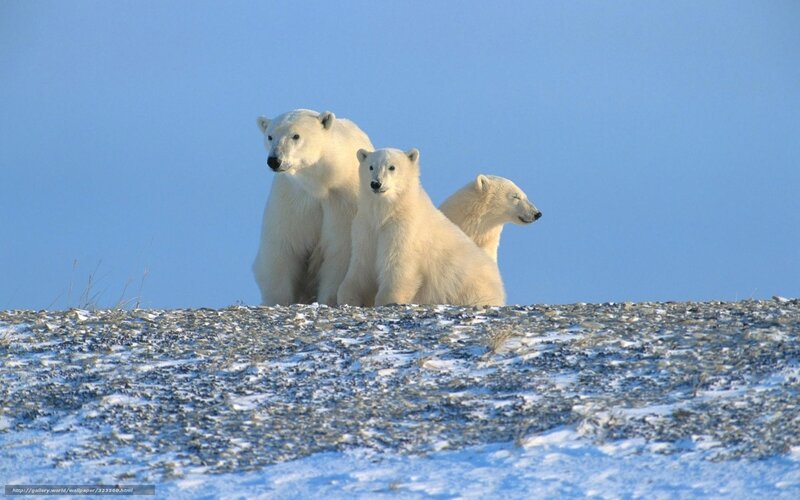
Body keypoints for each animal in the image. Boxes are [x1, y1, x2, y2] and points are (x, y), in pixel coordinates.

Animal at [253, 109, 373, 305]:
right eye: (270, 136)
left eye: (296, 135)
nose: (274, 160)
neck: (321, 184)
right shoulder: (292, 200)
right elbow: (283, 248)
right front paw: (278, 300)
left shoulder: (343, 203)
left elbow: (339, 251)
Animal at [337, 148, 506, 307]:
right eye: (371, 166)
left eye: (392, 167)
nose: (376, 183)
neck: (387, 212)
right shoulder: (366, 227)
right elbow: (362, 265)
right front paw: (348, 297)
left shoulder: (404, 230)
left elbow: (398, 265)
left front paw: (387, 299)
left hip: (472, 288)